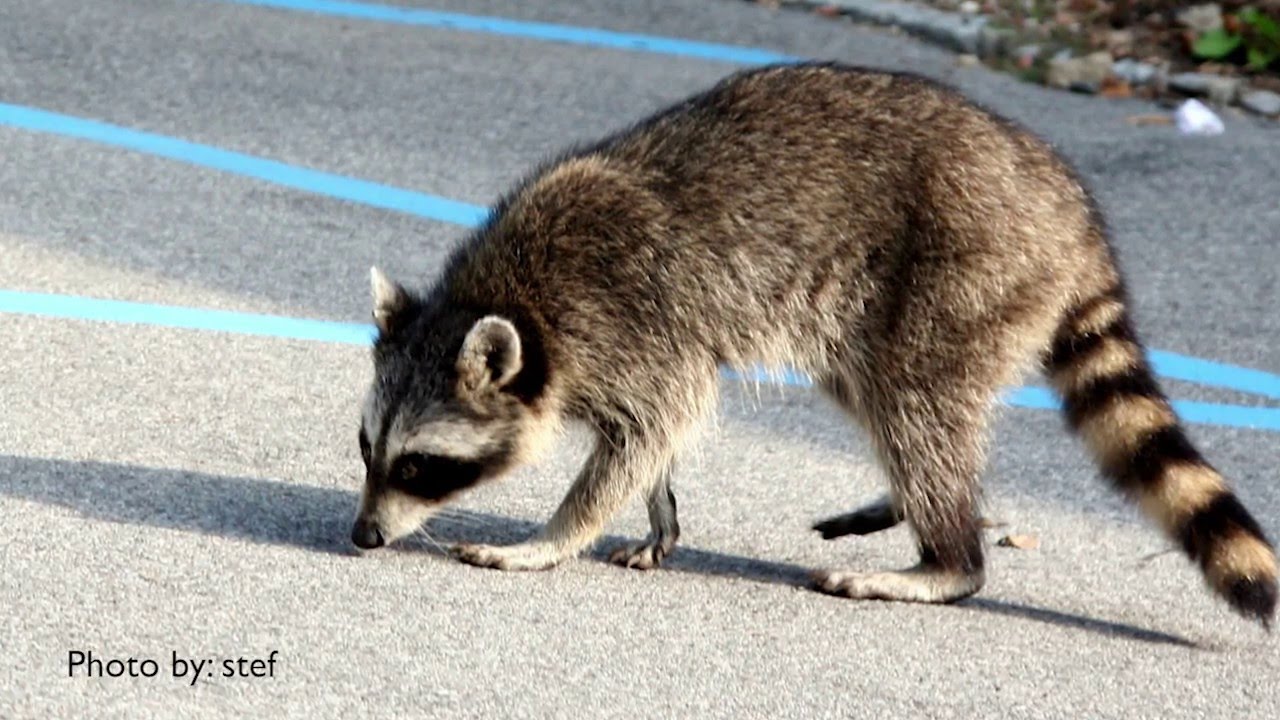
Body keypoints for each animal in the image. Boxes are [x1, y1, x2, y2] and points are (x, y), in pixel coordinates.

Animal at [351, 62, 1276, 626]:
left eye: (419, 466)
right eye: (366, 447)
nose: (362, 537)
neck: (511, 299)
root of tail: (1070, 212)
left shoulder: (632, 321)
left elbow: (653, 425)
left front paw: (552, 537)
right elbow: (657, 434)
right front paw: (659, 507)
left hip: (966, 273)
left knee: (915, 406)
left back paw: (947, 557)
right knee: (882, 396)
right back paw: (909, 504)